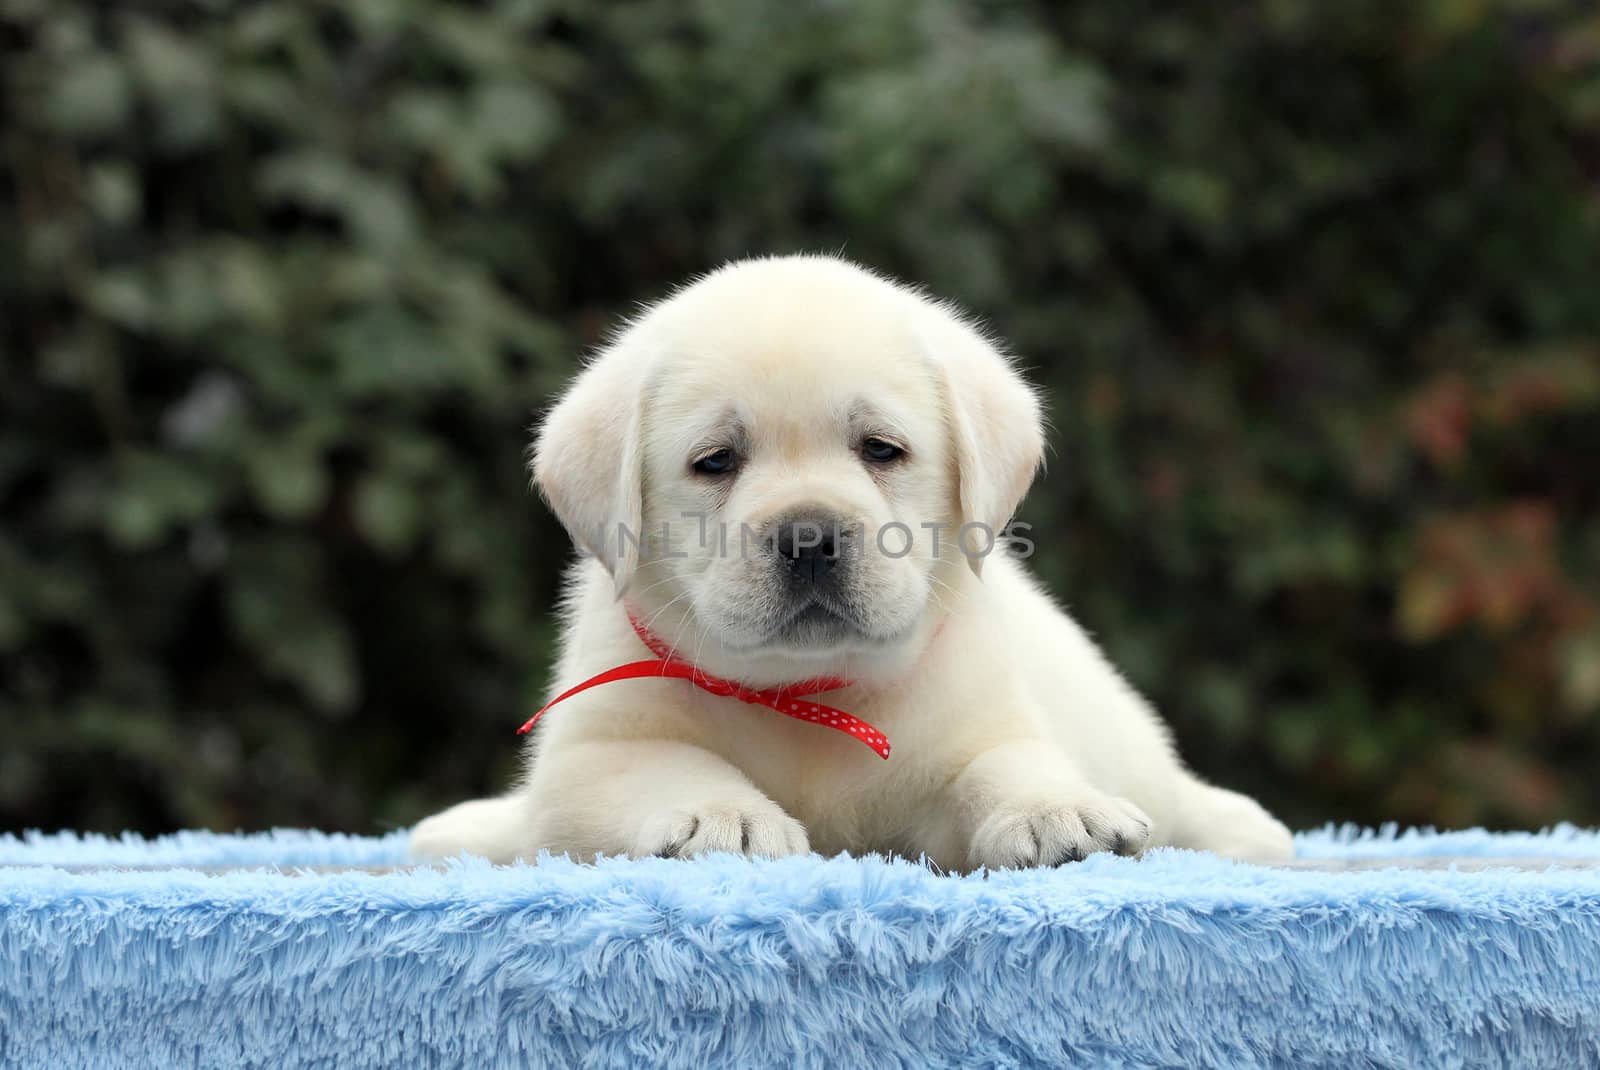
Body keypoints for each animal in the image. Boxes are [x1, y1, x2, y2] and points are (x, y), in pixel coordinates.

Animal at [406, 252, 1292, 870]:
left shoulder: (972, 733)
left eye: (880, 449)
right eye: (715, 461)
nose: (808, 537)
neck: (807, 694)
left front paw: (1054, 812)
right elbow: (665, 766)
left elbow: (1001, 763)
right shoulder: (588, 759)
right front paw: (723, 818)